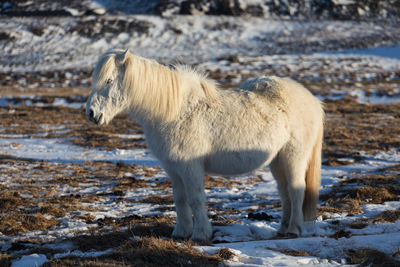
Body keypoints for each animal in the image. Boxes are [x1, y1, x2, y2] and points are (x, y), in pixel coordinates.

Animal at [86, 49, 324, 244]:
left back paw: (293, 229)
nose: (91, 114)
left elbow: (196, 198)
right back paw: (282, 229)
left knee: (296, 191)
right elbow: (180, 199)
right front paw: (180, 232)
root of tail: (312, 101)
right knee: (284, 193)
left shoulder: (190, 167)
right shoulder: (173, 168)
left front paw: (201, 234)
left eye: (108, 81)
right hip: (277, 160)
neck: (174, 111)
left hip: (293, 157)